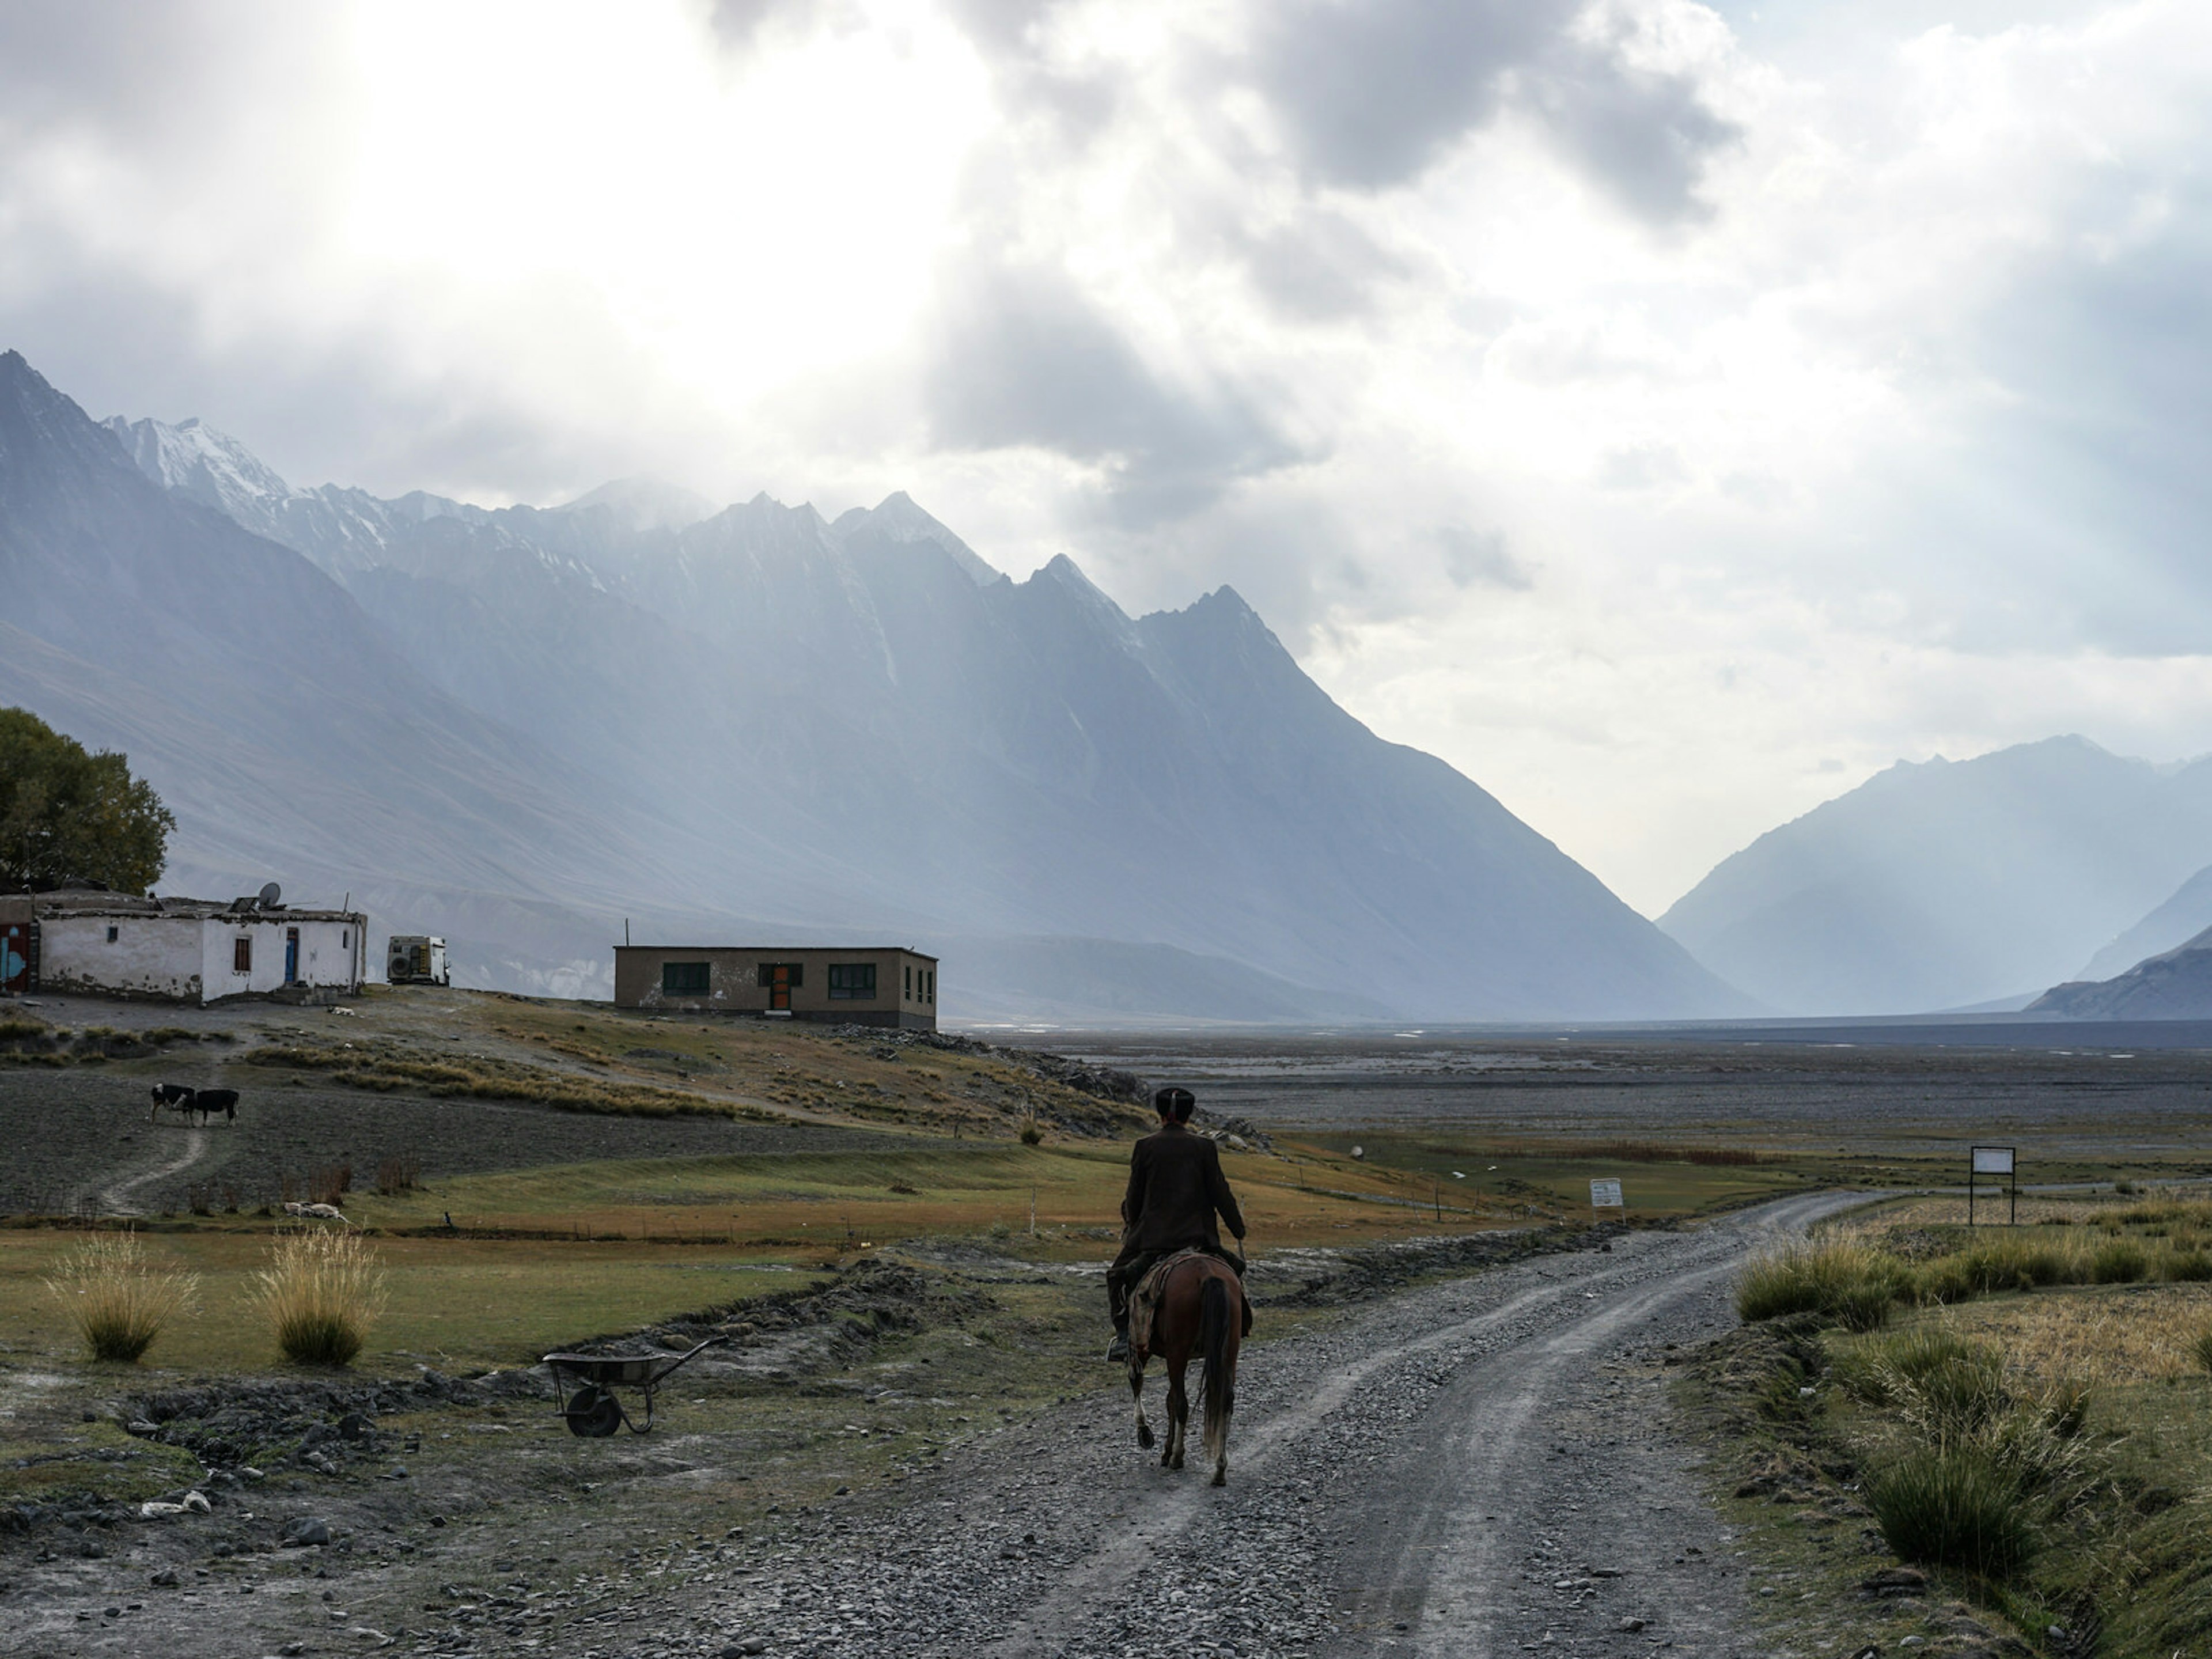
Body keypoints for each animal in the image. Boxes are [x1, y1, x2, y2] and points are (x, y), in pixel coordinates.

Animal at [1132, 1256, 1238, 1495]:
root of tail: (1208, 1273)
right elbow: (1168, 1399)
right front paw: (1165, 1449)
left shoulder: (1139, 1348)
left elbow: (1139, 1382)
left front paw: (1146, 1433)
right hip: (1229, 1352)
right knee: (1225, 1403)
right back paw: (1220, 1469)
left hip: (1177, 1353)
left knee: (1182, 1404)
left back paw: (1178, 1457)